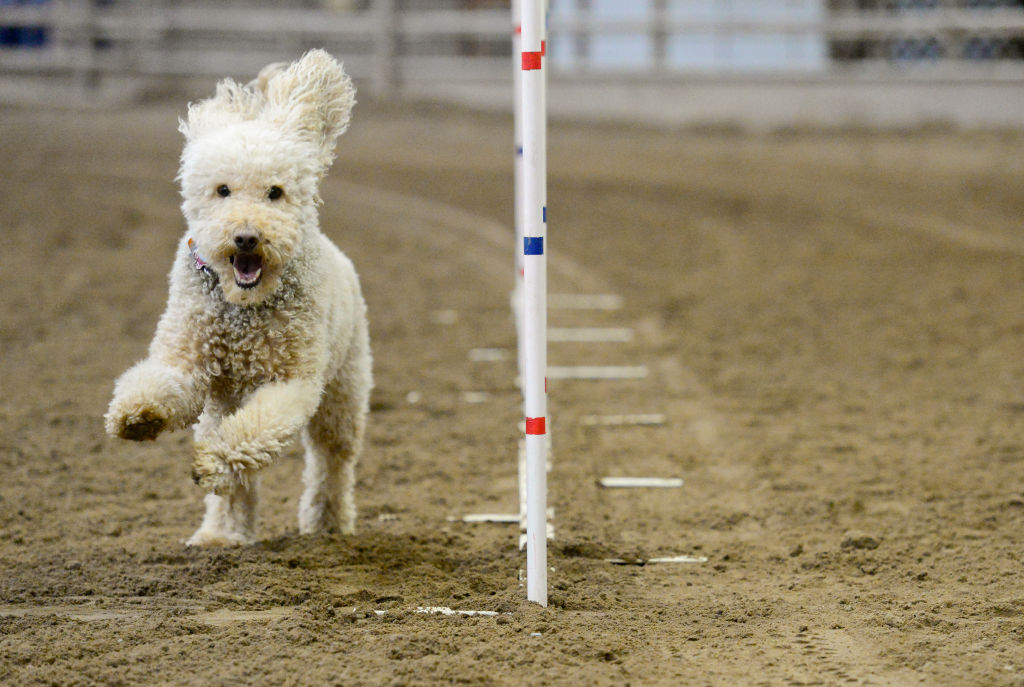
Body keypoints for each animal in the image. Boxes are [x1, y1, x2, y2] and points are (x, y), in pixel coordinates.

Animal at [103, 51, 374, 548]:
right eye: (223, 189)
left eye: (275, 192)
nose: (247, 237)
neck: (242, 312)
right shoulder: (188, 359)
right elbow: (162, 383)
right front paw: (139, 415)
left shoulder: (292, 383)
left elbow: (254, 431)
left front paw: (213, 462)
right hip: (222, 402)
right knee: (241, 479)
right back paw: (223, 533)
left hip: (344, 390)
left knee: (332, 459)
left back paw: (327, 523)